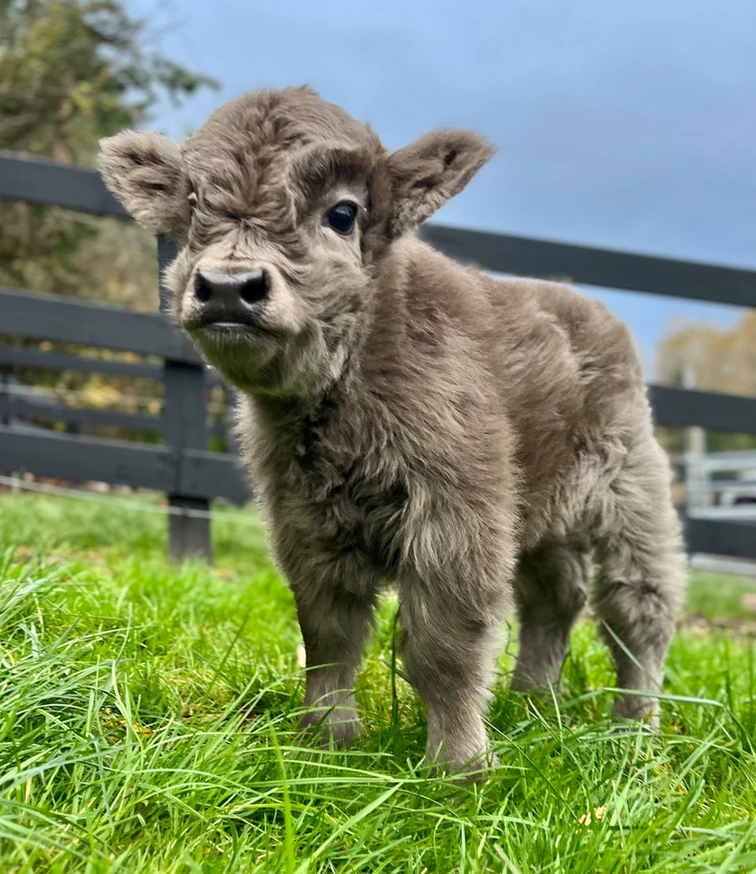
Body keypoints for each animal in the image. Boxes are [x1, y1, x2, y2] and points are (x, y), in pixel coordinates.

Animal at [99, 85, 684, 772]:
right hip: (542, 515)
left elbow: (442, 645)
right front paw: (324, 743)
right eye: (192, 205)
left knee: (639, 610)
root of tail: (590, 309)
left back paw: (634, 735)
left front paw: (458, 768)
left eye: (343, 213)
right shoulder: (304, 521)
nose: (228, 288)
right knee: (554, 598)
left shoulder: (455, 522)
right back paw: (533, 705)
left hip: (632, 500)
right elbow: (328, 634)